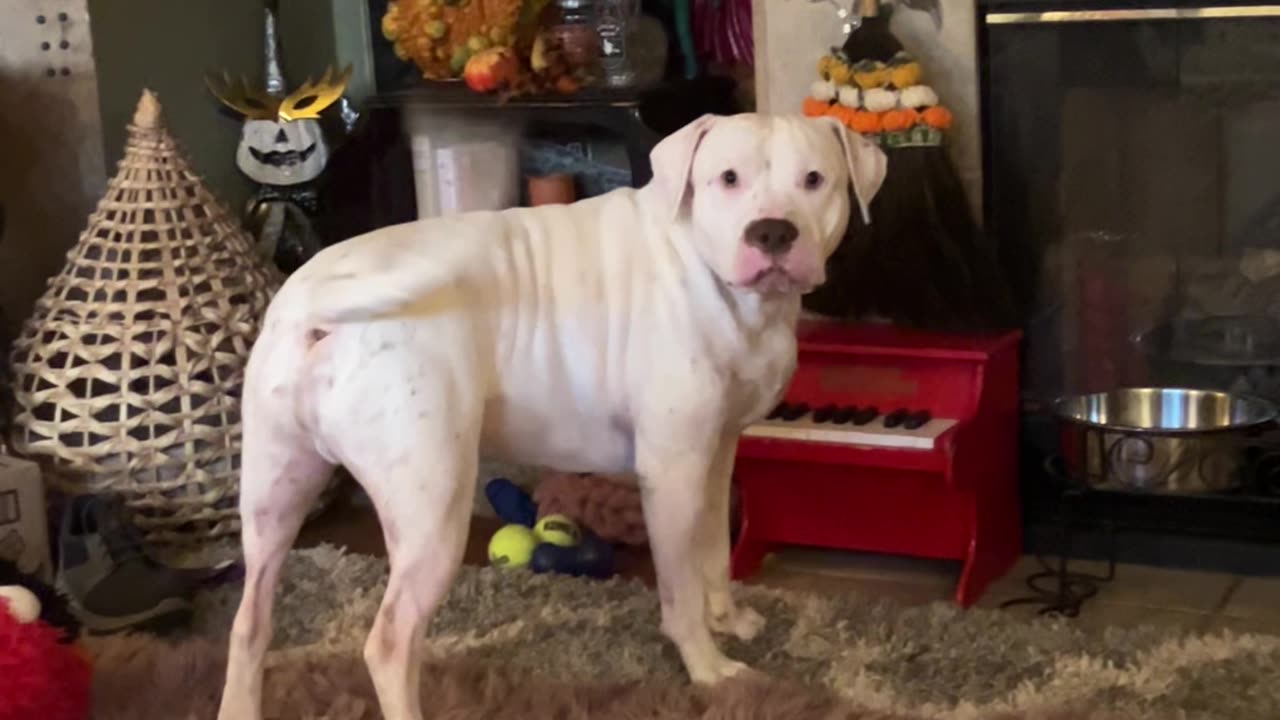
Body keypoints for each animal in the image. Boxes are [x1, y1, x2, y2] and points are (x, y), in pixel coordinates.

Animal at [215, 112, 885, 717]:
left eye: (814, 180)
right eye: (728, 178)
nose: (772, 232)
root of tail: (311, 303)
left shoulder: (716, 453)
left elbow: (715, 549)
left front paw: (730, 619)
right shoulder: (671, 473)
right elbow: (680, 587)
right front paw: (709, 668)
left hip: (274, 498)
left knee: (248, 625)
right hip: (432, 513)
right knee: (388, 645)